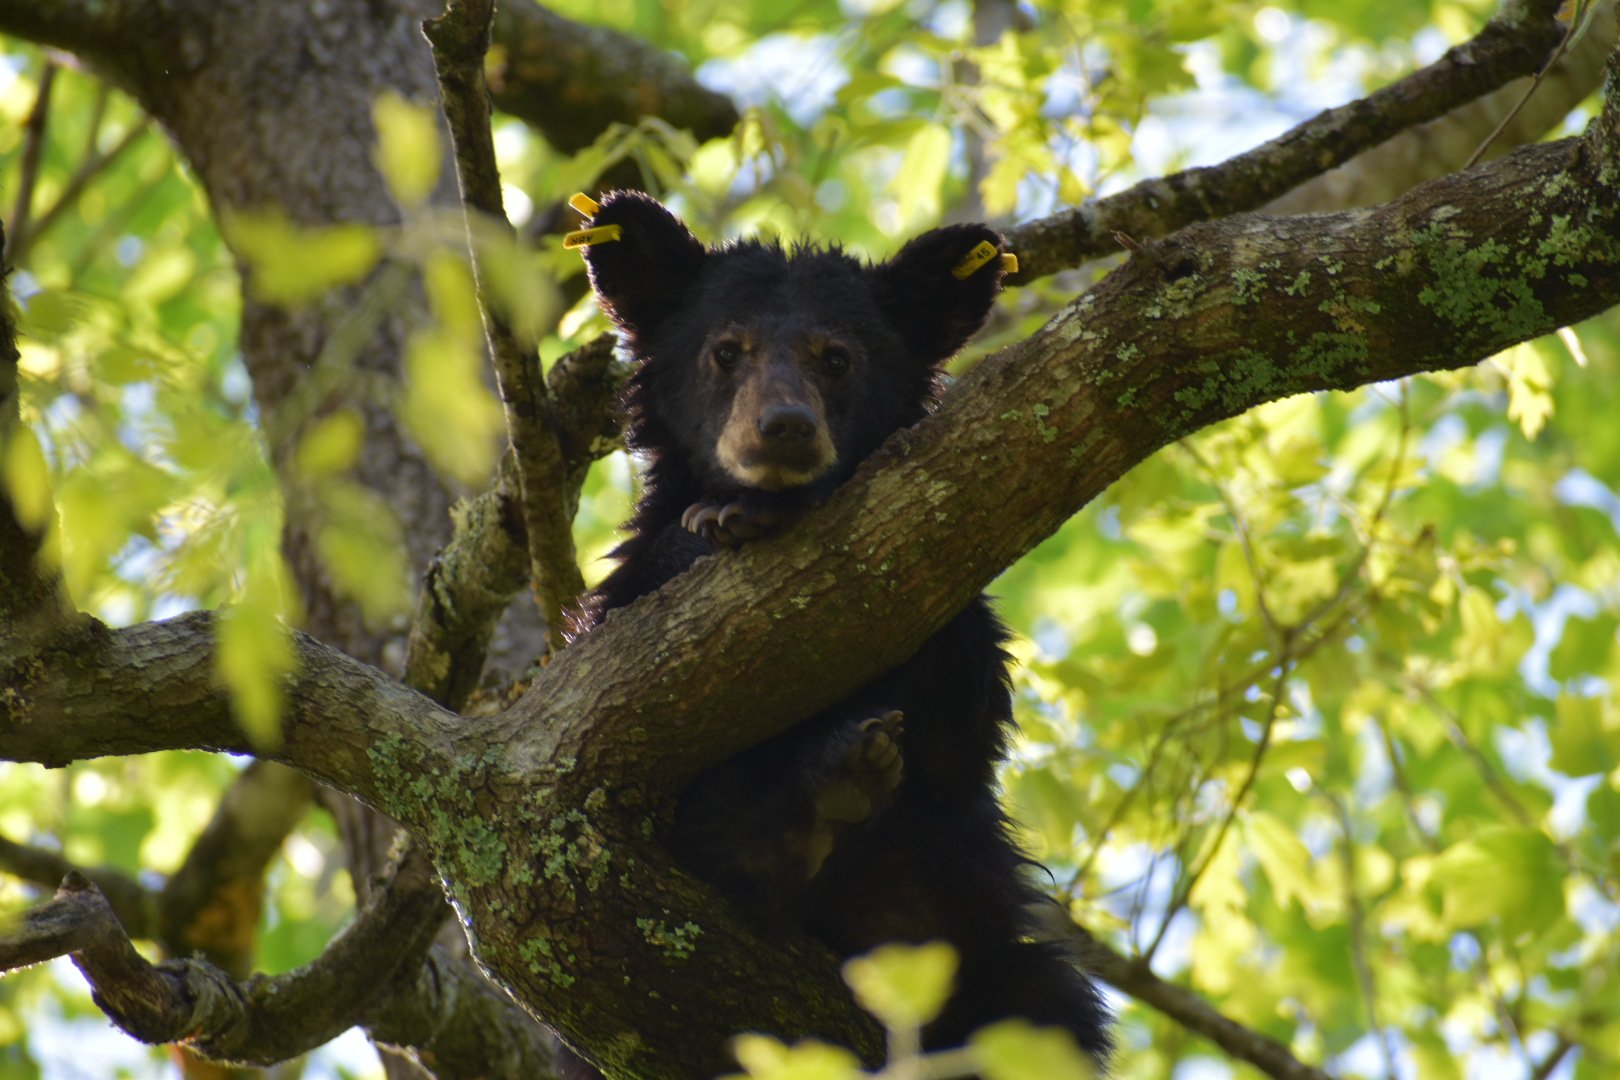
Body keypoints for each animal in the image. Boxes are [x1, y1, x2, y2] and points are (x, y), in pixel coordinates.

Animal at [566, 191, 1112, 1072]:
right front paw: (721, 518)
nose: (783, 427)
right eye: (727, 351)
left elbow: (961, 705)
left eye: (837, 358)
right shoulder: (617, 618)